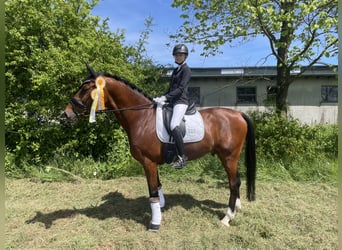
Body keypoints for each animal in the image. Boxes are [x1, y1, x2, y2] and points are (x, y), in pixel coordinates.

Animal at [62, 64, 255, 230]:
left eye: (85, 89)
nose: (66, 114)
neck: (142, 117)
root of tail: (238, 113)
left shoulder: (148, 162)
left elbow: (152, 191)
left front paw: (155, 223)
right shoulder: (152, 162)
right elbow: (158, 186)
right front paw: (161, 209)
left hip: (228, 156)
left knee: (233, 182)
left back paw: (227, 217)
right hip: (230, 157)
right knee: (236, 181)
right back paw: (237, 208)